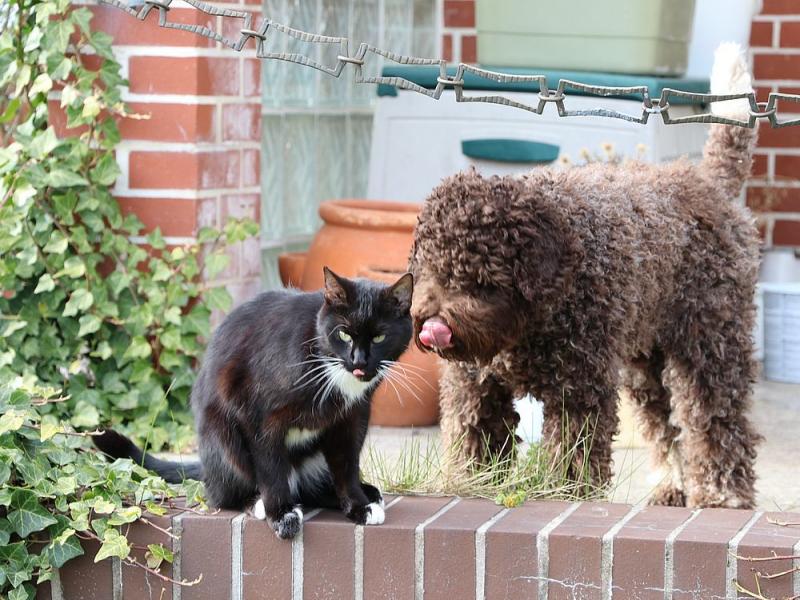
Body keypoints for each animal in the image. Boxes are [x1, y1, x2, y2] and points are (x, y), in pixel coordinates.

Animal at [95, 268, 412, 540]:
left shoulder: (353, 415)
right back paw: (256, 502)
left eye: (380, 336)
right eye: (344, 333)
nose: (359, 362)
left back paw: (364, 493)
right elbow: (270, 467)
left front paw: (358, 505)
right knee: (223, 492)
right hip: (222, 436)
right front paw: (280, 514)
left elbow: (346, 464)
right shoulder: (257, 412)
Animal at [412, 44, 764, 508]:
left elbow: (572, 452)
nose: (434, 324)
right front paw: (470, 485)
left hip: (711, 342)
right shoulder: (476, 386)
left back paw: (724, 495)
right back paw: (670, 486)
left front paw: (564, 494)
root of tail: (709, 183)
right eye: (430, 270)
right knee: (664, 424)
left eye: (483, 278)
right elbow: (475, 441)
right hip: (645, 362)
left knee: (716, 420)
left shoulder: (578, 388)